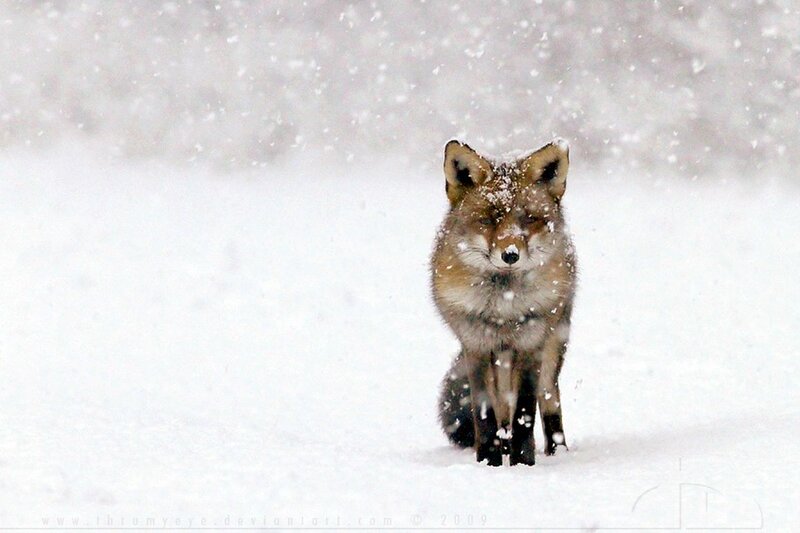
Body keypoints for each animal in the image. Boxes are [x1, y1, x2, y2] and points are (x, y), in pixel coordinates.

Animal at [431, 138, 577, 466]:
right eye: (489, 219)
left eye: (530, 219)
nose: (510, 254)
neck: (503, 307)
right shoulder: (476, 344)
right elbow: (485, 412)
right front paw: (489, 461)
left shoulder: (531, 344)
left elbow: (525, 411)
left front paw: (523, 463)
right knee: (500, 408)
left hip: (554, 346)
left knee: (549, 401)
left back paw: (557, 452)